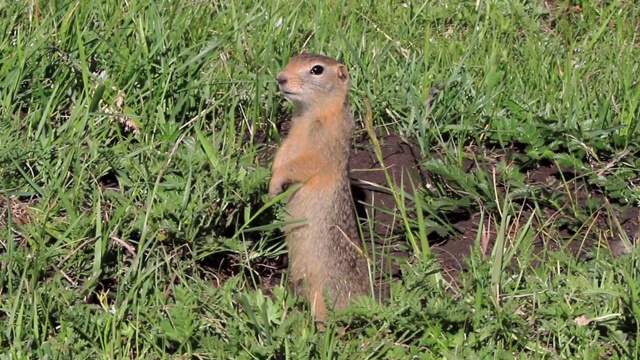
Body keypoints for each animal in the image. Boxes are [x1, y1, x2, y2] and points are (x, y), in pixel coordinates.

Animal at [268, 52, 370, 320]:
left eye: (317, 70)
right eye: (293, 57)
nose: (280, 77)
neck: (309, 115)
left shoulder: (324, 142)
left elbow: (302, 164)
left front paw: (275, 185)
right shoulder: (291, 137)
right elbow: (282, 156)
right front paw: (271, 185)